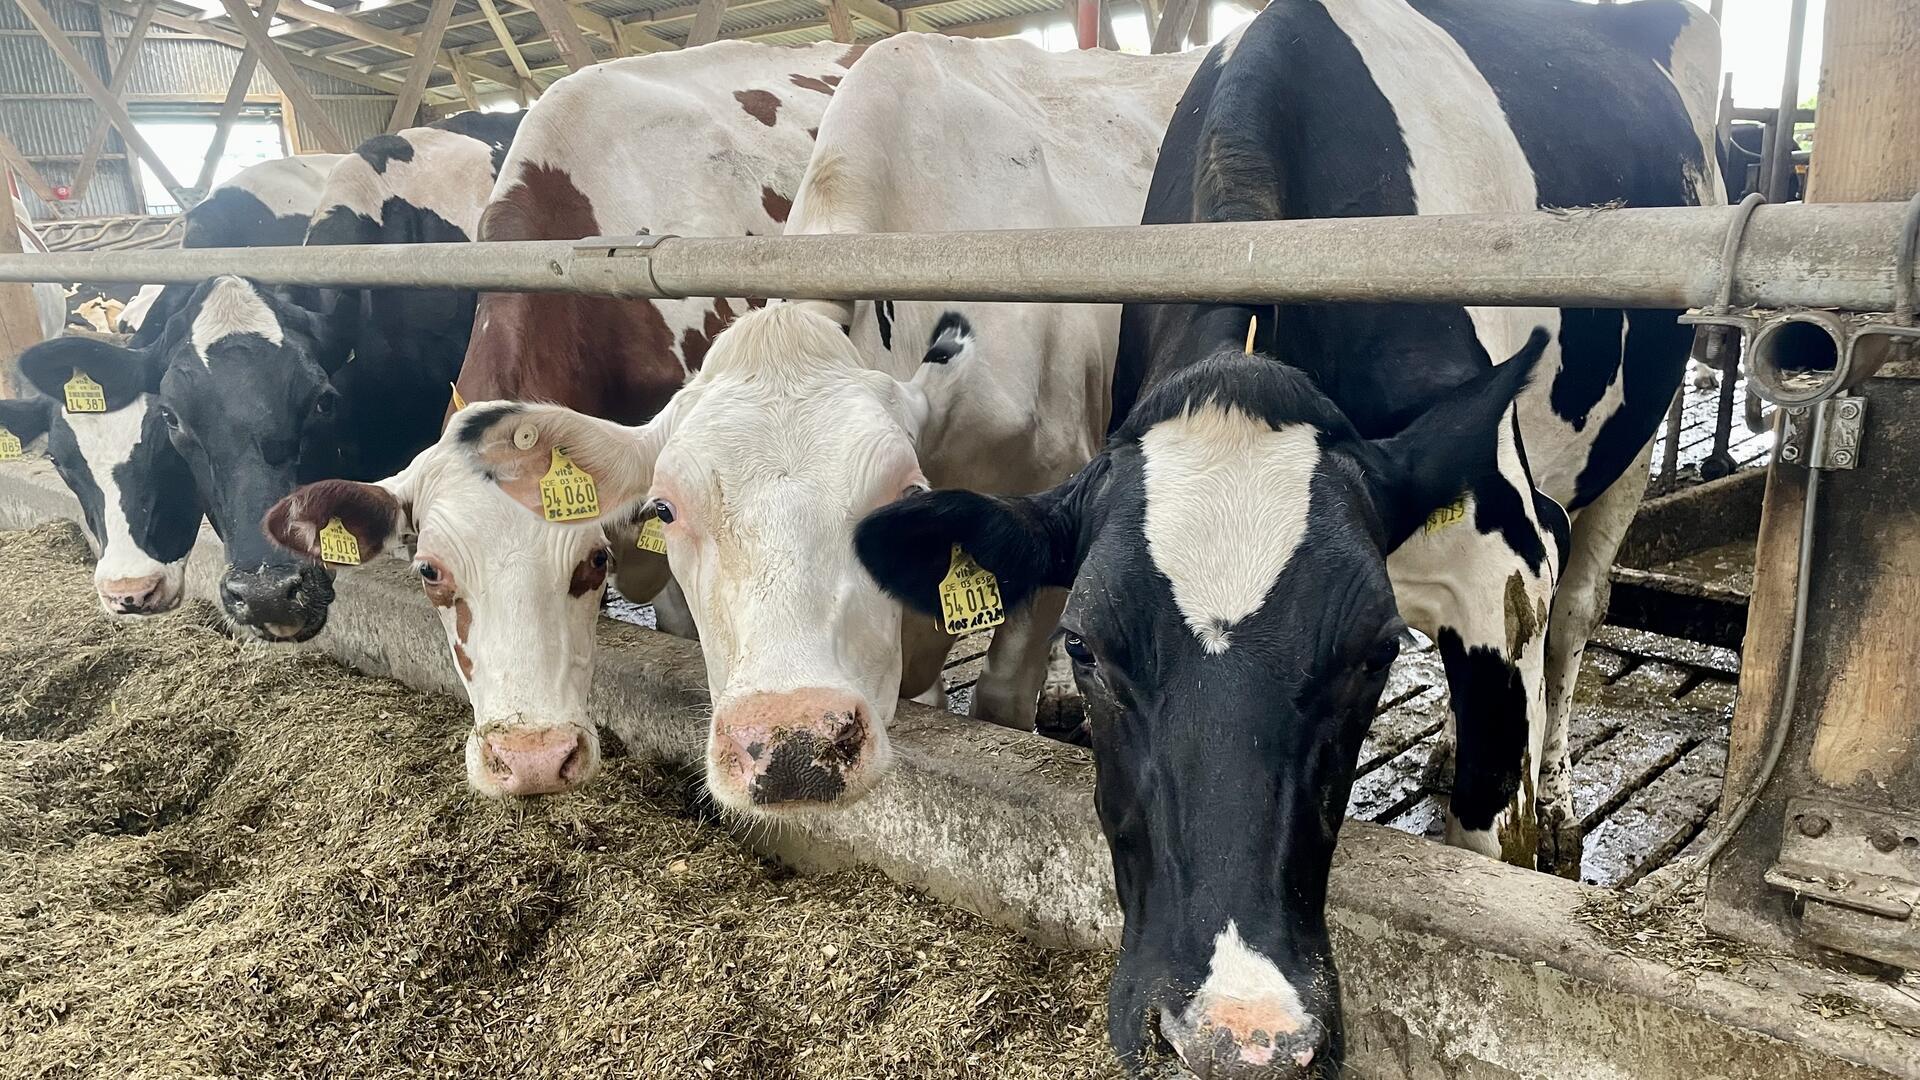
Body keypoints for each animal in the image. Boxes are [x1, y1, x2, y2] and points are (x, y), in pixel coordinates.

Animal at [848, 4, 1720, 1068]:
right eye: (1083, 649)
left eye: (1372, 652)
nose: (1240, 1040)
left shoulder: (1502, 553)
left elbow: (1488, 819)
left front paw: (1512, 829)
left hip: (1631, 438)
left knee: (1575, 619)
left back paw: (1552, 794)